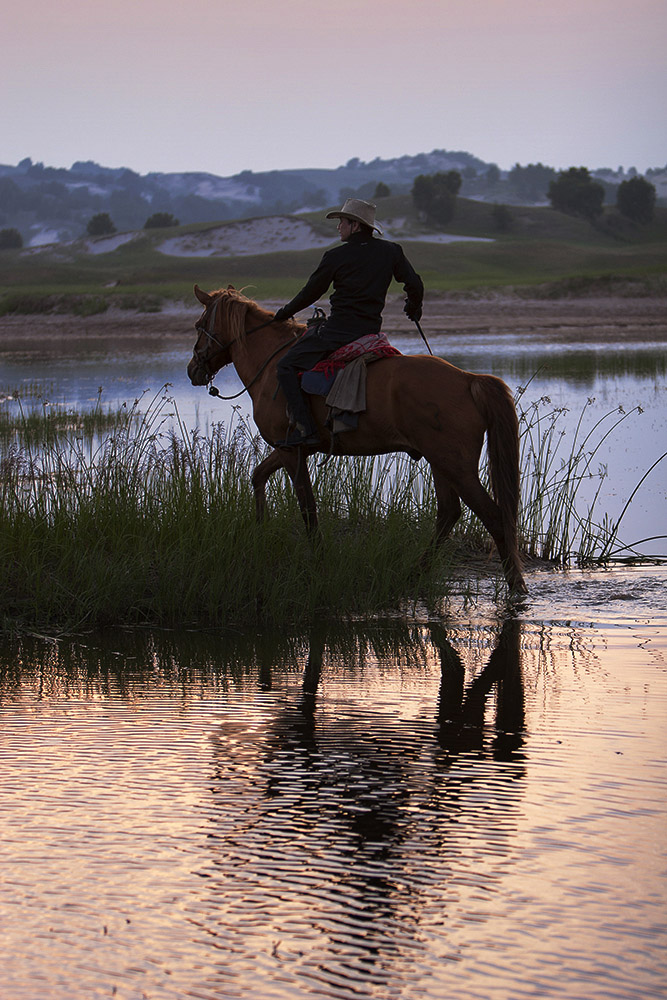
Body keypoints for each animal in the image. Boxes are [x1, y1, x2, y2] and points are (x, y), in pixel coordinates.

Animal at [187, 284, 528, 592]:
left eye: (200, 325)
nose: (192, 370)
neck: (271, 366)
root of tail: (469, 380)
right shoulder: (291, 449)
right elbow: (258, 476)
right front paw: (260, 529)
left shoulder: (291, 452)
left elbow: (307, 508)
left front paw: (319, 560)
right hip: (441, 463)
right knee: (448, 514)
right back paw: (414, 574)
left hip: (455, 466)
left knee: (493, 516)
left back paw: (516, 586)